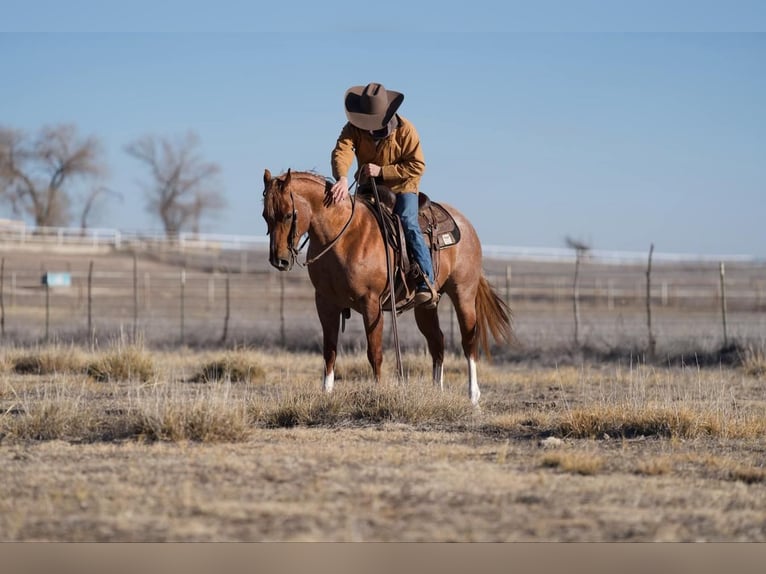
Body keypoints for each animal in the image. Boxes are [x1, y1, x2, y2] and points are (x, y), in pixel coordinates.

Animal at [260, 169, 512, 408]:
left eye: (289, 214)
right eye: (265, 216)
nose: (278, 260)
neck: (343, 236)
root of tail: (465, 225)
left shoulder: (371, 303)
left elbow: (375, 352)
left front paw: (378, 393)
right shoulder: (325, 302)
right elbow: (329, 352)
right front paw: (326, 394)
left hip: (463, 294)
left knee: (469, 342)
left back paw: (473, 397)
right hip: (427, 305)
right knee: (437, 343)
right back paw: (436, 392)